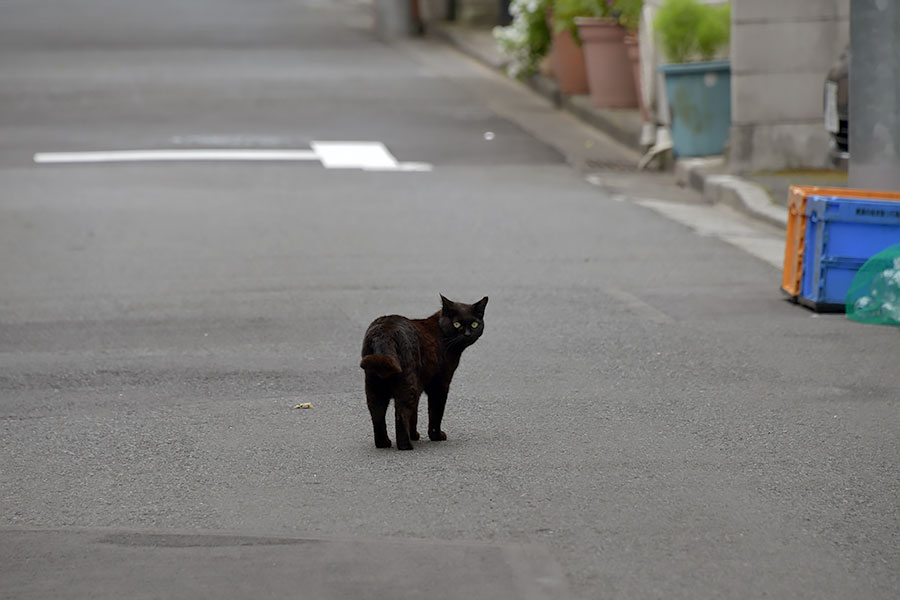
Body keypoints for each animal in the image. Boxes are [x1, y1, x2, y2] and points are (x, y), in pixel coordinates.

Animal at [360, 296, 488, 450]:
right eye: (456, 324)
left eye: (474, 324)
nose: (467, 334)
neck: (442, 334)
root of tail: (384, 332)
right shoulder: (440, 384)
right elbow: (435, 412)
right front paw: (436, 436)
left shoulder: (419, 386)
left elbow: (414, 414)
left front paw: (414, 434)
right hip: (407, 383)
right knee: (401, 413)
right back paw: (406, 445)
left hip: (374, 386)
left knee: (377, 414)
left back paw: (383, 443)